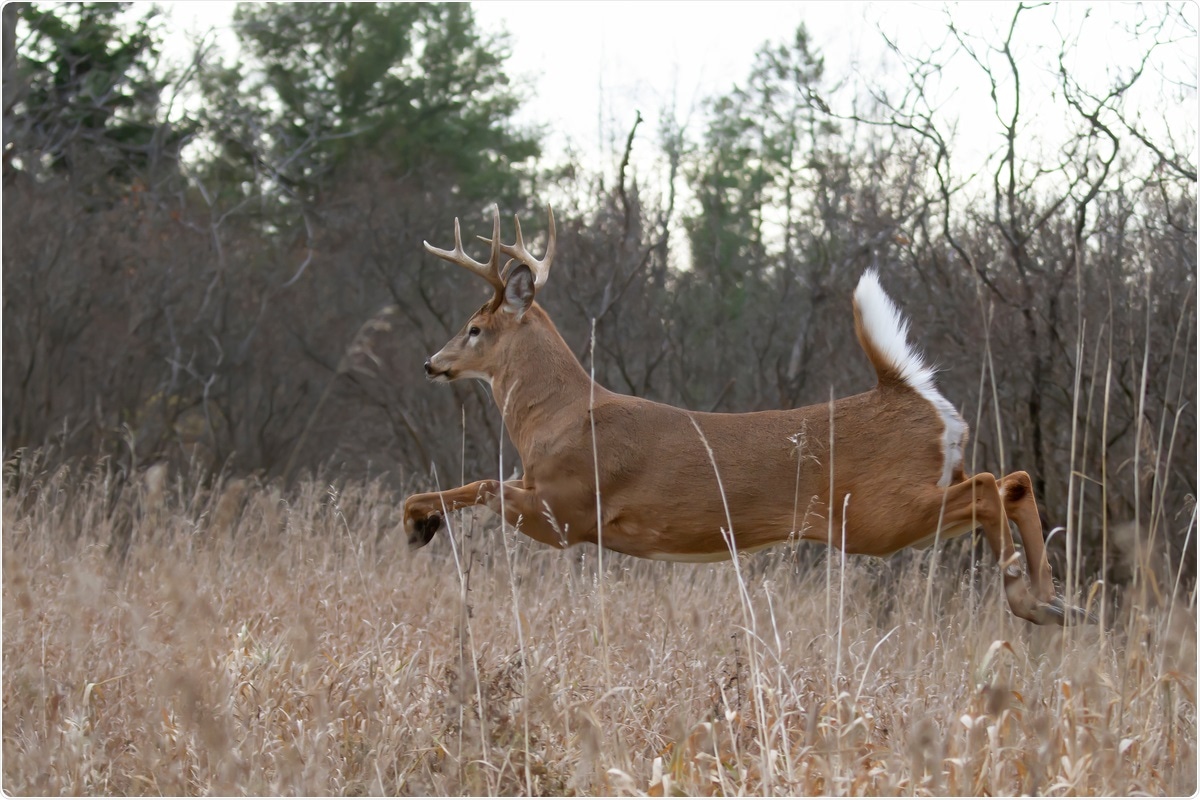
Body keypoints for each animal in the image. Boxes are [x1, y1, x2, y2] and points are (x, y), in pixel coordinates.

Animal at [403, 206, 1091, 625]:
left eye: (474, 328)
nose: (432, 363)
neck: (557, 419)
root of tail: (909, 394)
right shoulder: (541, 491)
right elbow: (475, 483)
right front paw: (419, 520)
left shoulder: (567, 512)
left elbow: (481, 484)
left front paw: (417, 522)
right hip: (912, 495)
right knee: (1013, 480)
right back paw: (1053, 601)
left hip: (873, 515)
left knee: (992, 487)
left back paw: (1026, 596)